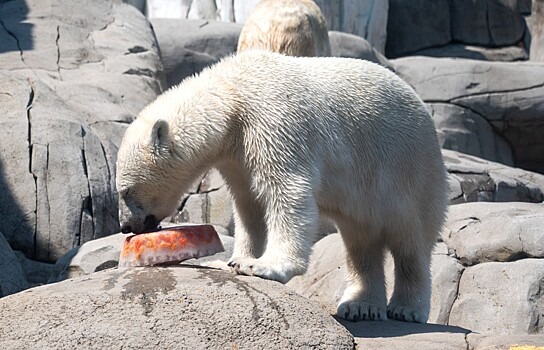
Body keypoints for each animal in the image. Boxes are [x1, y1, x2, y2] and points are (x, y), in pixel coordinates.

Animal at [115, 50, 446, 322]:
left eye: (126, 191)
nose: (125, 225)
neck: (232, 95)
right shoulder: (237, 155)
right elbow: (249, 206)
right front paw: (233, 261)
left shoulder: (274, 122)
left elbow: (286, 191)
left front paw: (265, 266)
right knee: (361, 243)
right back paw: (359, 306)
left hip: (410, 171)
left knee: (411, 241)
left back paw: (407, 308)